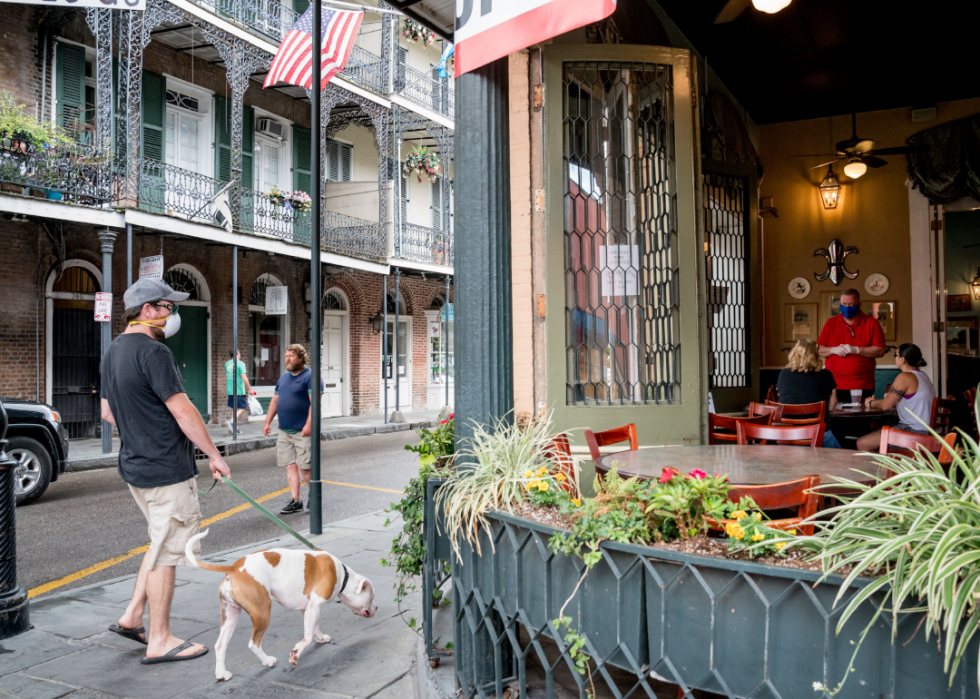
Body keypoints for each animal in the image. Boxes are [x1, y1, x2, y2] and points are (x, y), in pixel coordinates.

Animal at [186, 528, 378, 680]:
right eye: (371, 597)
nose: (376, 607)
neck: (342, 575)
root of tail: (234, 568)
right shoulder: (314, 606)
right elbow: (307, 636)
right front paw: (296, 654)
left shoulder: (308, 608)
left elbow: (314, 628)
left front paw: (321, 638)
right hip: (262, 612)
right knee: (253, 643)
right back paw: (267, 661)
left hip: (230, 615)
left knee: (220, 645)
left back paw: (221, 673)